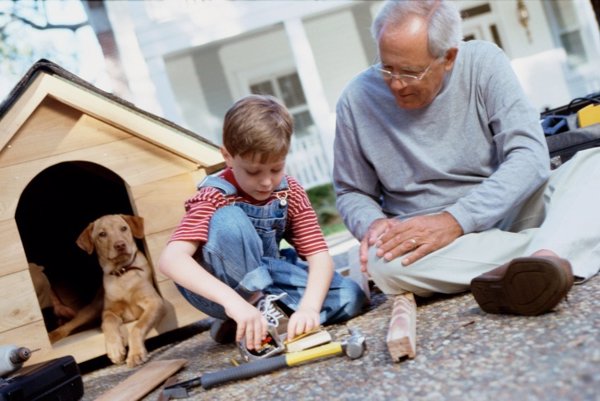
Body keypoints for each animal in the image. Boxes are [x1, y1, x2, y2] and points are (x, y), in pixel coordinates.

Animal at [48, 214, 164, 368]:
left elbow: (137, 327)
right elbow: (108, 323)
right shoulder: (109, 311)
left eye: (124, 228)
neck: (122, 273)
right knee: (68, 326)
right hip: (91, 309)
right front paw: (115, 350)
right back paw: (52, 336)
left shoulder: (155, 302)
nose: (120, 245)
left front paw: (135, 354)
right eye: (102, 234)